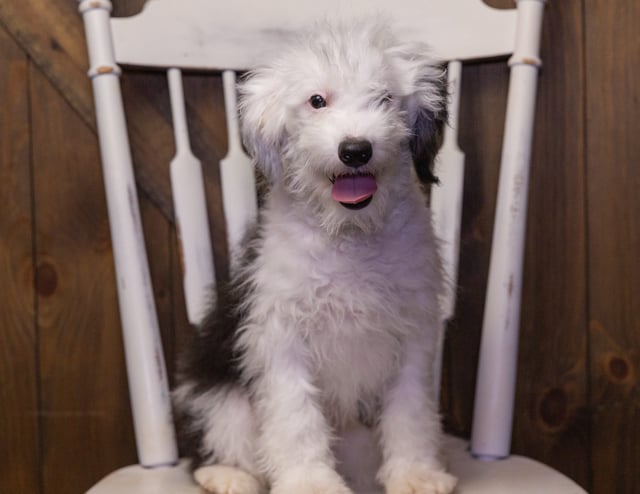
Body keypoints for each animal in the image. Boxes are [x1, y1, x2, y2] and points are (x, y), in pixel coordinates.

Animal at [172, 18, 458, 494]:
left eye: (385, 98)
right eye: (317, 101)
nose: (355, 149)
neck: (349, 239)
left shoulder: (414, 333)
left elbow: (410, 409)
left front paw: (416, 473)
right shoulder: (279, 334)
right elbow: (296, 417)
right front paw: (310, 482)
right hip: (217, 389)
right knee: (216, 429)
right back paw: (227, 474)